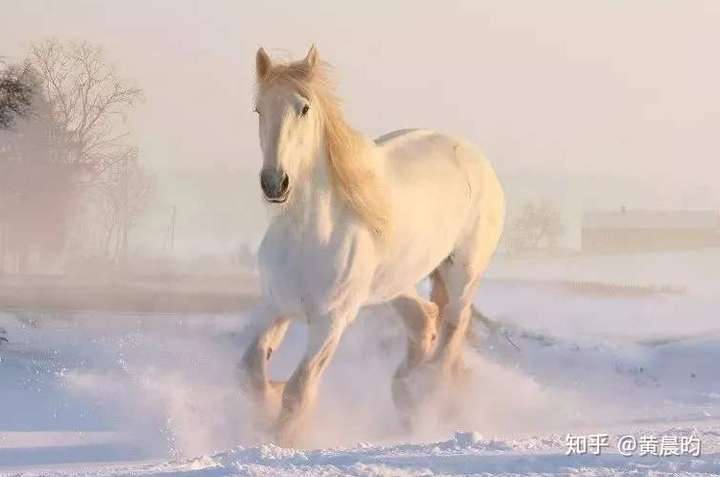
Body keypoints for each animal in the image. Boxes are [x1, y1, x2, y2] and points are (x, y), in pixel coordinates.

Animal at [239, 42, 504, 444]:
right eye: (258, 108)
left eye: (304, 108)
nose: (274, 182)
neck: (308, 235)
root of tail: (475, 156)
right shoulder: (275, 305)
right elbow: (252, 372)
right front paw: (268, 407)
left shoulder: (331, 321)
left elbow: (298, 391)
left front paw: (281, 439)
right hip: (395, 283)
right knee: (424, 319)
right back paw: (405, 393)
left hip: (463, 274)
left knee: (451, 331)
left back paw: (425, 397)